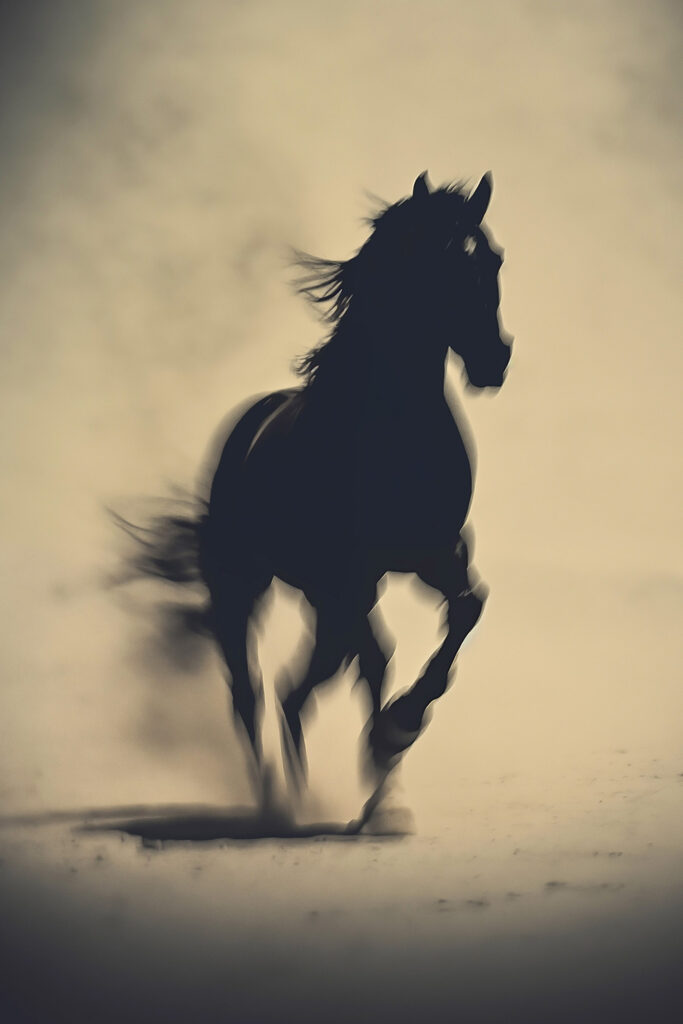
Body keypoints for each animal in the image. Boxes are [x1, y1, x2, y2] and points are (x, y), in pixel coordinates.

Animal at [122, 170, 512, 815]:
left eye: (493, 260)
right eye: (440, 262)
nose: (495, 358)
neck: (394, 432)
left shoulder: (434, 554)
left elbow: (466, 609)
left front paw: (399, 729)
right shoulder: (352, 573)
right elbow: (376, 659)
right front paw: (396, 730)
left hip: (326, 596)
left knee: (305, 682)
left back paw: (362, 792)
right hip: (248, 588)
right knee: (255, 690)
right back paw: (281, 800)